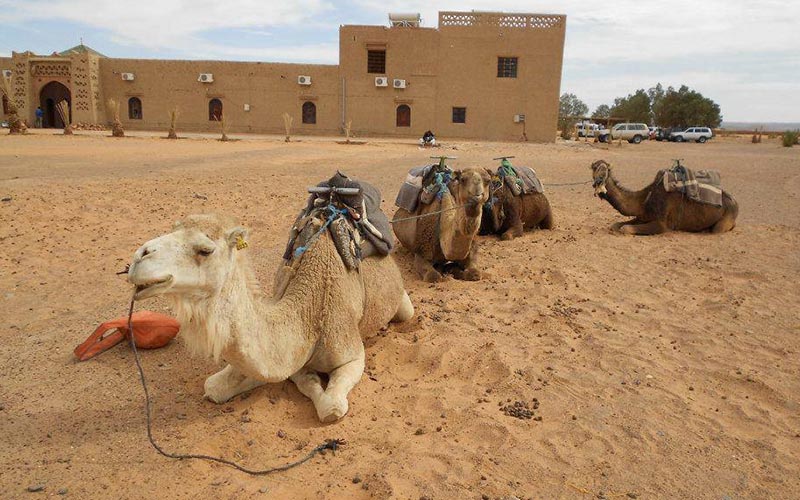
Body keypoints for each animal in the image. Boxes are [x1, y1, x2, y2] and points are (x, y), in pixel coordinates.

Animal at [126, 211, 412, 422]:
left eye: (205, 250)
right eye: (173, 228)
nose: (139, 258)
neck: (309, 313)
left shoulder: (351, 353)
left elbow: (331, 407)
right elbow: (216, 386)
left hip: (402, 303)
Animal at [588, 162, 736, 236]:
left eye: (606, 169)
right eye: (594, 168)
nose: (599, 180)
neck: (645, 199)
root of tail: (735, 203)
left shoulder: (662, 224)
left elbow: (625, 229)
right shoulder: (643, 216)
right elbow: (616, 226)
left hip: (725, 220)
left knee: (717, 229)